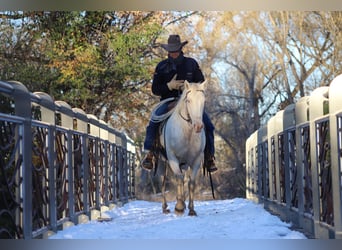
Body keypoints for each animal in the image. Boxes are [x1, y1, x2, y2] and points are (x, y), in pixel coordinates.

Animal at [152, 79, 206, 215]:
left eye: (203, 101)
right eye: (188, 100)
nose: (198, 126)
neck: (187, 132)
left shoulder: (196, 159)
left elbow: (191, 182)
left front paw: (191, 209)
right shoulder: (172, 157)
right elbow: (179, 178)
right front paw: (179, 207)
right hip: (161, 162)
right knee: (162, 181)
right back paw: (165, 207)